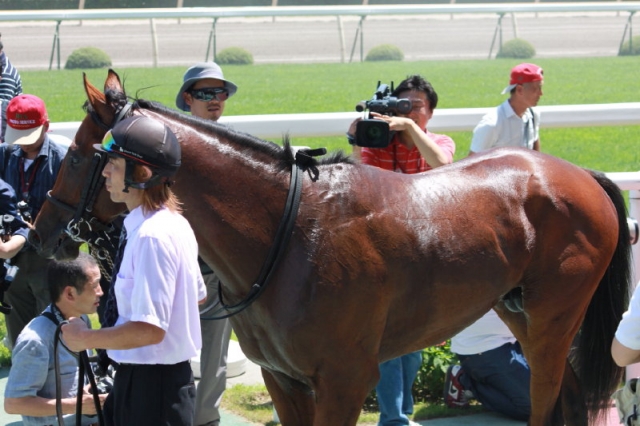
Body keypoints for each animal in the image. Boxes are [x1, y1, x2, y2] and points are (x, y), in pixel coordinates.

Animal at [30, 70, 631, 426]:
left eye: (77, 154)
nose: (42, 235)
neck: (290, 234)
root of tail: (580, 175)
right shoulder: (284, 379)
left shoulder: (344, 380)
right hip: (516, 310)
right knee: (570, 391)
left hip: (555, 314)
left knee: (548, 394)